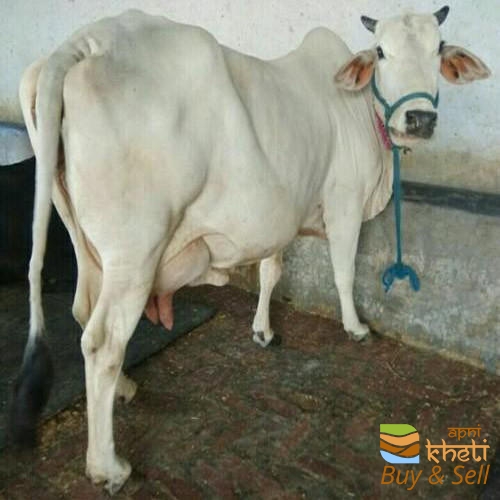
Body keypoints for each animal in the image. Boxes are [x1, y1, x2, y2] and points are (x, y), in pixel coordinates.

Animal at [11, 6, 489, 493]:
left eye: (437, 49)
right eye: (380, 52)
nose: (419, 119)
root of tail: (84, 42)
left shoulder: (280, 214)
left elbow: (270, 271)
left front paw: (263, 331)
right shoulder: (345, 203)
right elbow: (344, 272)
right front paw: (355, 327)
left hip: (87, 245)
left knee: (83, 311)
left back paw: (125, 388)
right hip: (135, 251)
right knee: (103, 340)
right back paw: (108, 465)